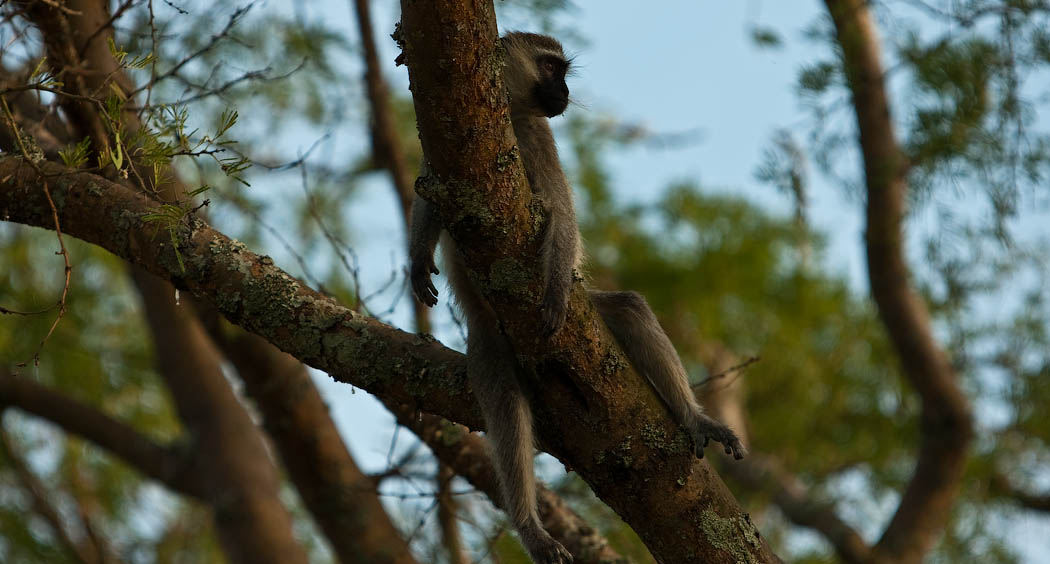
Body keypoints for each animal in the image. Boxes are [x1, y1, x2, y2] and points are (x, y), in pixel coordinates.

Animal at [409, 31, 747, 562]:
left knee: (628, 308)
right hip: (489, 341)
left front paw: (551, 291)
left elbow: (559, 214)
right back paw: (530, 525)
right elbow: (428, 194)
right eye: (552, 68)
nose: (565, 93)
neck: (507, 116)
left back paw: (693, 420)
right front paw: (418, 260)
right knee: (505, 404)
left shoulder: (536, 138)